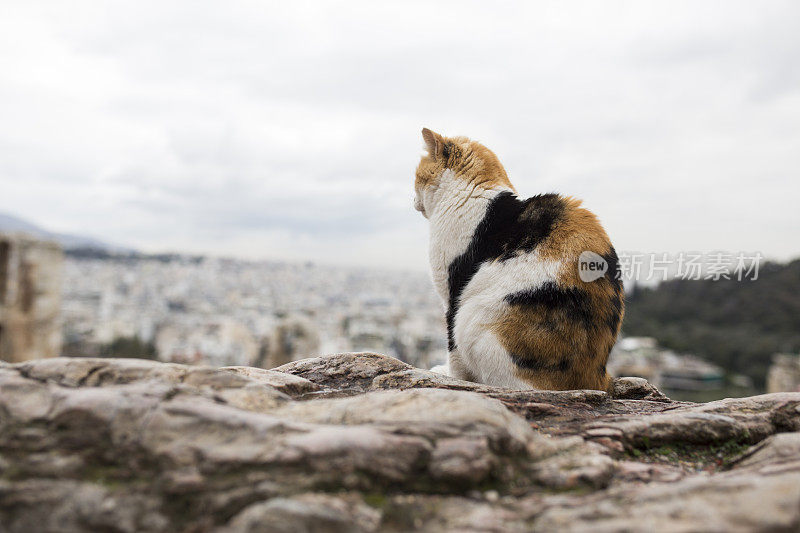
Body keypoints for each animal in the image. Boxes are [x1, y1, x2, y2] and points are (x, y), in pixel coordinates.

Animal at [412, 128, 624, 390]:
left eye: (416, 176)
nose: (412, 201)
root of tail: (597, 378)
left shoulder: (452, 293)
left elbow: (453, 351)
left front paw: (449, 376)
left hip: (474, 319)